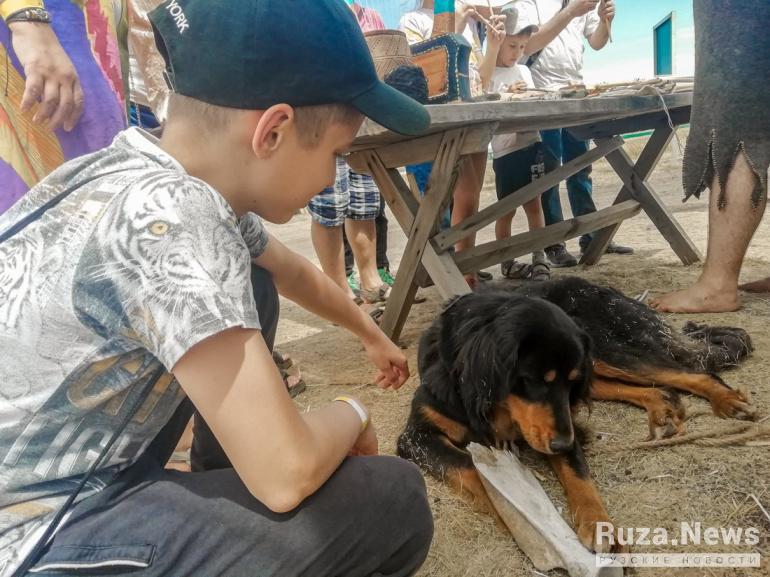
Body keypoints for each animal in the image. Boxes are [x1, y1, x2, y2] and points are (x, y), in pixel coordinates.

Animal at [397, 277, 756, 552]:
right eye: (532, 380)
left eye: (563, 381)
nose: (562, 443)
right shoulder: (415, 436)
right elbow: (470, 466)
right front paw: (512, 514)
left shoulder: (561, 419)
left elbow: (577, 474)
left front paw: (598, 524)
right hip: (597, 363)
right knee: (661, 386)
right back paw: (663, 409)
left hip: (605, 351)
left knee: (694, 371)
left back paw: (727, 400)